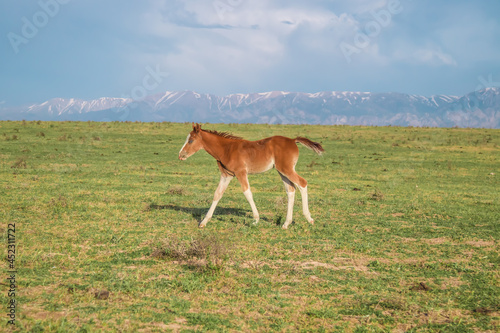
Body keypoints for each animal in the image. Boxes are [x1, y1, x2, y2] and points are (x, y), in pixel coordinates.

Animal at [179, 122, 324, 228]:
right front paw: (204, 222)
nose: (181, 155)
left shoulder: (241, 172)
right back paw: (286, 223)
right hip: (282, 171)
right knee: (291, 190)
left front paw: (255, 220)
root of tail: (293, 140)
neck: (227, 149)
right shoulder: (226, 175)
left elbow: (247, 192)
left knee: (302, 183)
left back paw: (309, 218)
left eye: (191, 140)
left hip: (286, 169)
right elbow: (217, 194)